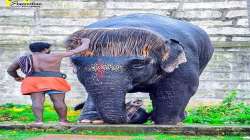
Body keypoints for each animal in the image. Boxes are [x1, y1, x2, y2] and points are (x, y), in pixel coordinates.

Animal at [65, 13, 214, 124]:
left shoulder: (185, 62)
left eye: (138, 64)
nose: (136, 103)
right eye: (76, 63)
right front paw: (89, 121)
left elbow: (181, 87)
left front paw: (166, 122)